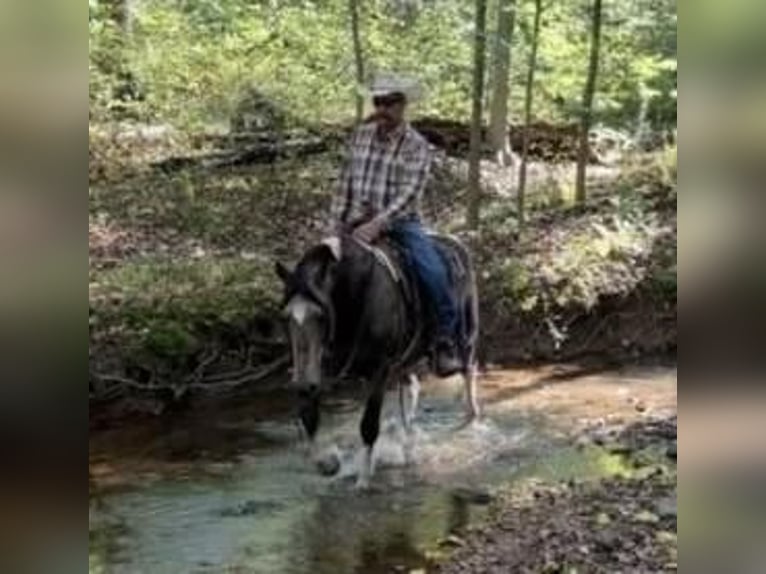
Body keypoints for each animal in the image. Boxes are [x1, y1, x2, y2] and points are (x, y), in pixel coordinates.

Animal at [276, 232, 480, 488]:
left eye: (321, 315)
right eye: (285, 317)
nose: (302, 383)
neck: (354, 297)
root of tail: (457, 244)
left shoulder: (379, 370)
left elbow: (369, 424)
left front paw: (363, 480)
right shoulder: (320, 369)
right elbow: (309, 415)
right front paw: (326, 463)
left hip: (466, 337)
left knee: (469, 370)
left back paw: (472, 416)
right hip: (406, 359)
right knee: (413, 387)